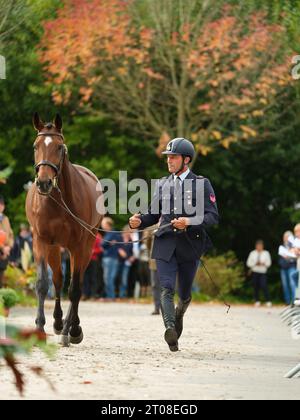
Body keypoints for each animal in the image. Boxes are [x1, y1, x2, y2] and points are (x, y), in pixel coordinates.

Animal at [26, 113, 103, 346]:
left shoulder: (78, 246)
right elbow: (43, 284)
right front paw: (40, 328)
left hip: (87, 245)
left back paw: (72, 327)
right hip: (54, 248)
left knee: (76, 283)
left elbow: (75, 289)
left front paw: (70, 332)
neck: (58, 201)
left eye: (60, 147)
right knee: (58, 280)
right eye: (35, 146)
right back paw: (59, 322)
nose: (43, 182)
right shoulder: (40, 241)